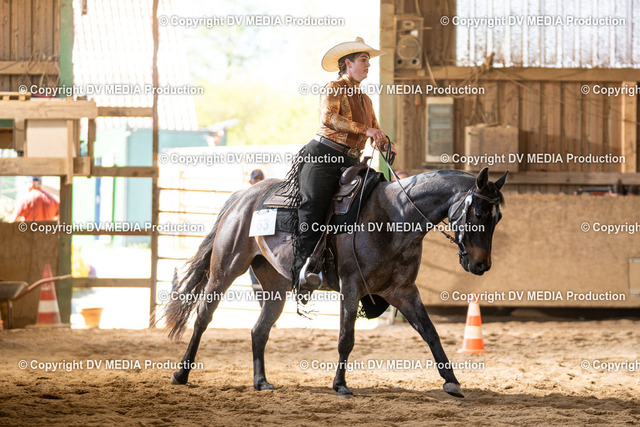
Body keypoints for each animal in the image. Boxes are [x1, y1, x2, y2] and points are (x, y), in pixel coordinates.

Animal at [163, 166, 507, 399]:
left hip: (275, 286)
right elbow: (346, 338)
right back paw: (181, 373)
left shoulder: (403, 291)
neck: (393, 216)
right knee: (203, 317)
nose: (482, 264)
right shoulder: (351, 286)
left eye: (498, 218)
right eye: (478, 213)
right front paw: (340, 384)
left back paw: (261, 382)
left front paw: (452, 381)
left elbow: (430, 333)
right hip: (225, 269)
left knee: (259, 330)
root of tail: (243, 197)